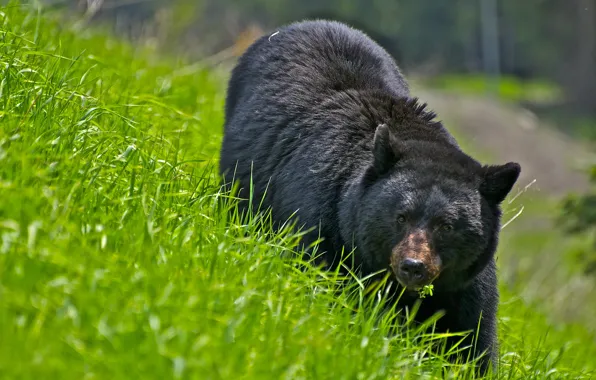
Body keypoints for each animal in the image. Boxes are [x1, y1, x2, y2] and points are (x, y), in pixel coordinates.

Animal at [219, 20, 520, 374]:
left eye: (447, 226)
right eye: (400, 217)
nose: (413, 267)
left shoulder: (465, 285)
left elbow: (472, 337)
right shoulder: (323, 225)